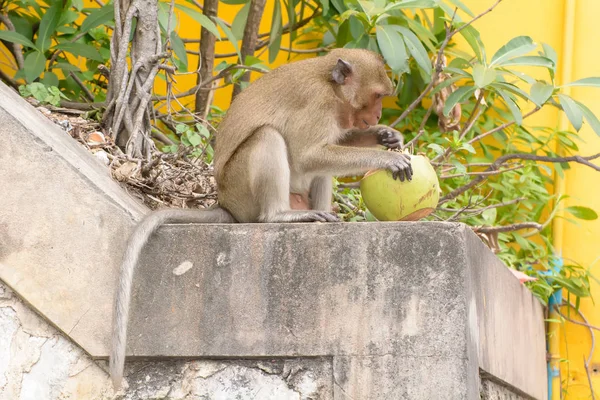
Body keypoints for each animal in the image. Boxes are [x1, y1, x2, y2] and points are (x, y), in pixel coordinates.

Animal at [110, 46, 412, 388]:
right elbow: (309, 155)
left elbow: (330, 147)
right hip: (243, 189)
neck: (331, 86)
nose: (378, 116)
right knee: (268, 137)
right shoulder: (317, 103)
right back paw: (279, 216)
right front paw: (384, 157)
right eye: (377, 96)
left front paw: (386, 136)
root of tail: (226, 204)